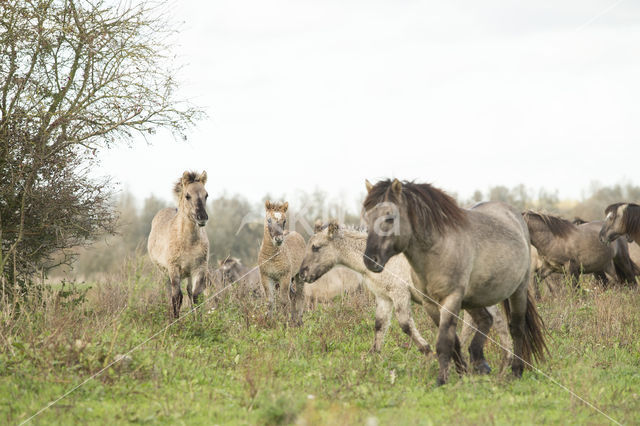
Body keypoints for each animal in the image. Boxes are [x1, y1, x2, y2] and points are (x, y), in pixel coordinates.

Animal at [148, 171, 210, 318]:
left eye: (206, 195)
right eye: (187, 196)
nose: (202, 217)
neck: (188, 242)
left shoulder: (199, 268)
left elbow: (196, 296)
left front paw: (198, 321)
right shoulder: (174, 269)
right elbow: (177, 298)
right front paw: (175, 322)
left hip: (188, 274)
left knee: (189, 291)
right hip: (164, 272)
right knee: (168, 292)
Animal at [298, 221, 512, 364]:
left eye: (316, 247)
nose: (302, 274)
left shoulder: (399, 293)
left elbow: (405, 325)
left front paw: (426, 350)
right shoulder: (384, 297)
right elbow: (380, 325)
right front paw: (373, 354)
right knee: (494, 321)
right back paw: (506, 358)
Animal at [362, 178, 548, 384]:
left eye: (389, 218)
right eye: (367, 217)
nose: (370, 260)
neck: (438, 249)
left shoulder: (451, 299)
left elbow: (444, 342)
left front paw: (442, 381)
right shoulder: (431, 304)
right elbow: (454, 341)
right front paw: (461, 373)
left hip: (518, 291)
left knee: (516, 328)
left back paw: (516, 371)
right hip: (474, 298)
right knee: (486, 319)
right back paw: (480, 362)